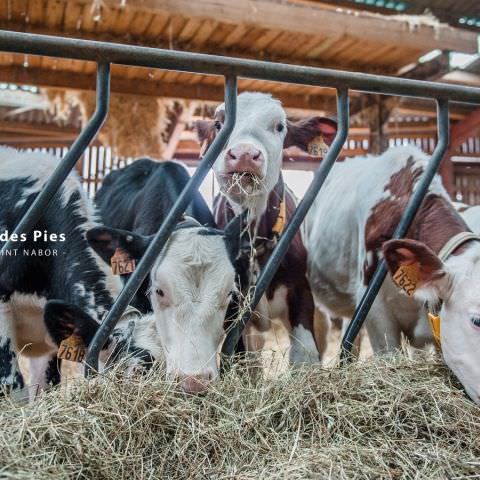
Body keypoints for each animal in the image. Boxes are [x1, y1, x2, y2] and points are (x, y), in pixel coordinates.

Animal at [195, 92, 338, 364]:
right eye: (219, 124)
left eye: (279, 127)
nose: (244, 154)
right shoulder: (233, 306)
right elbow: (237, 355)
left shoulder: (301, 290)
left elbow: (305, 353)